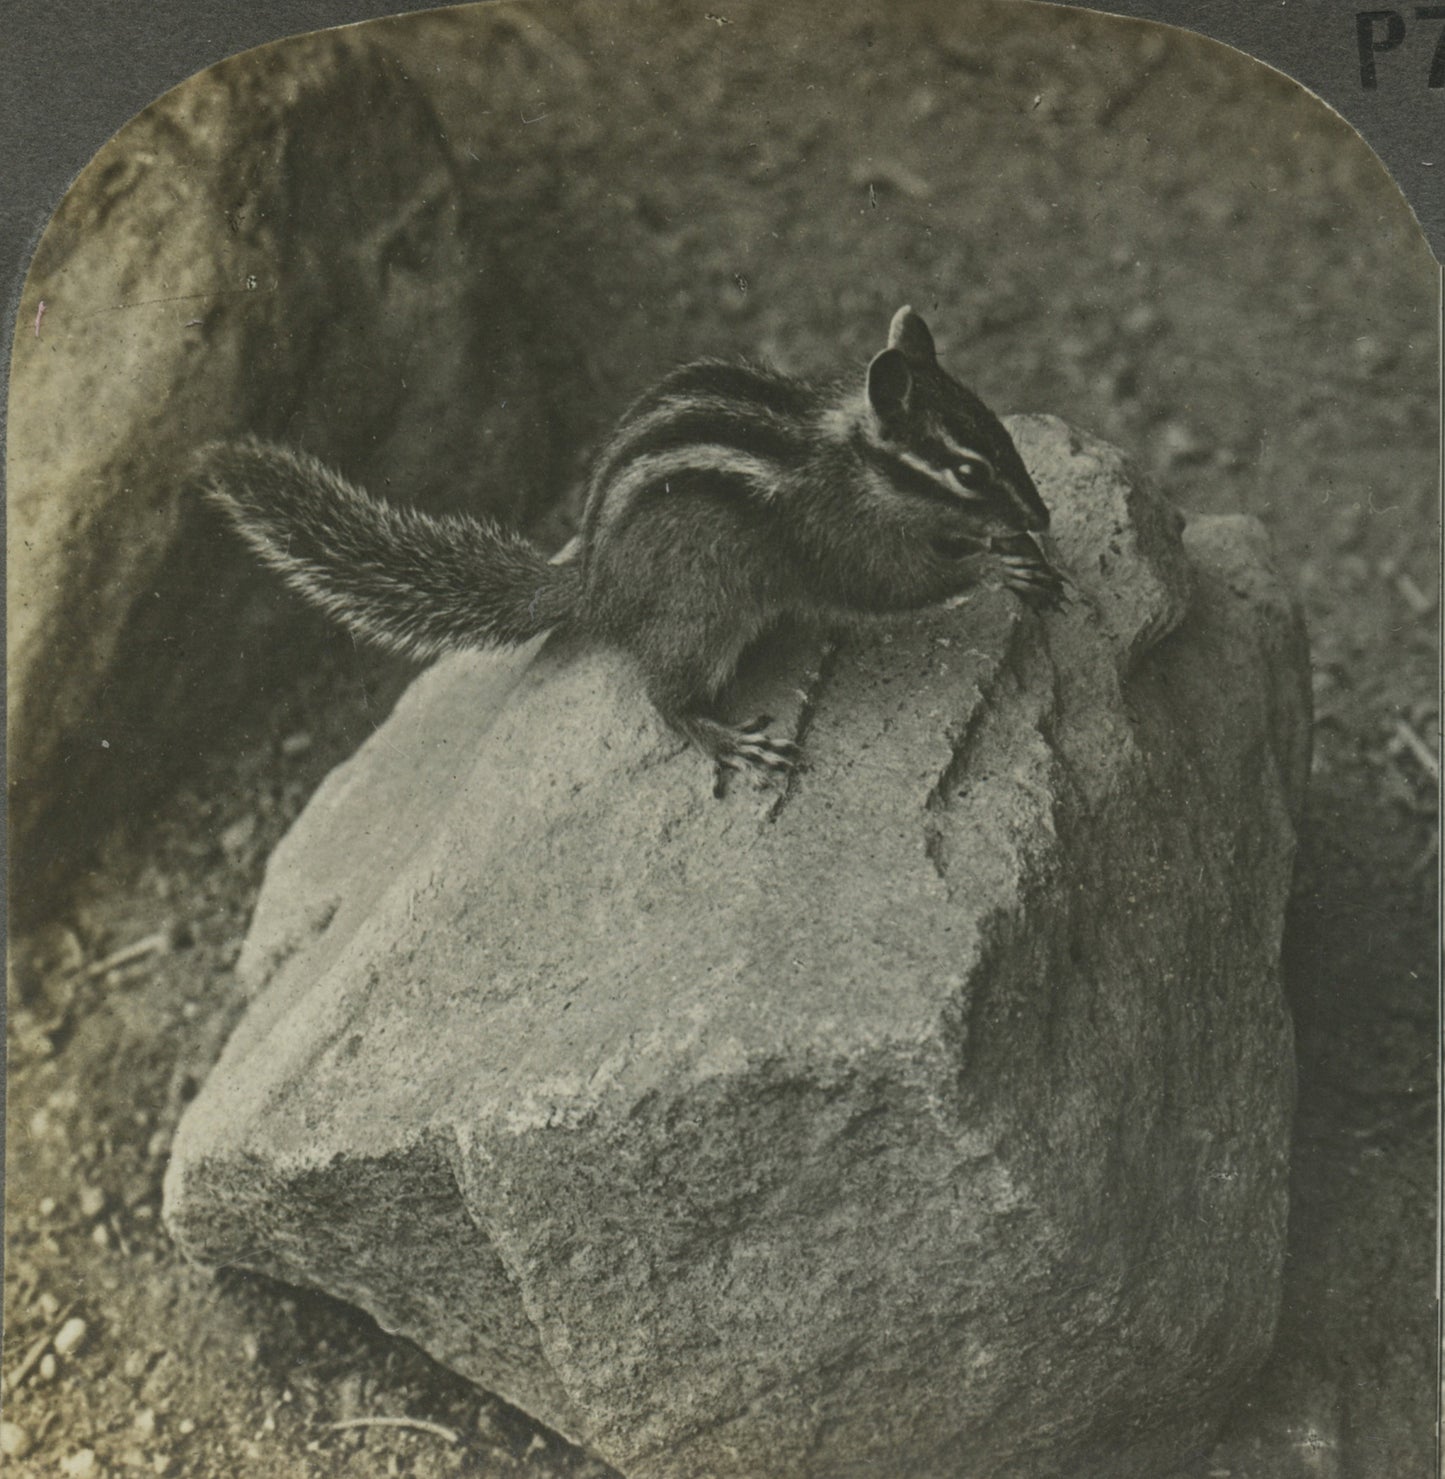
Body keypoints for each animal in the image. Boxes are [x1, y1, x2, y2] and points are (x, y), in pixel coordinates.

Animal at [195, 306, 1064, 790]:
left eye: (998, 429)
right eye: (967, 468)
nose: (1043, 511)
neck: (849, 455)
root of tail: (590, 582)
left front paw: (1024, 550)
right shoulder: (836, 536)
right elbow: (893, 584)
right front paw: (995, 556)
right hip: (700, 612)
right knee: (662, 696)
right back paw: (727, 739)